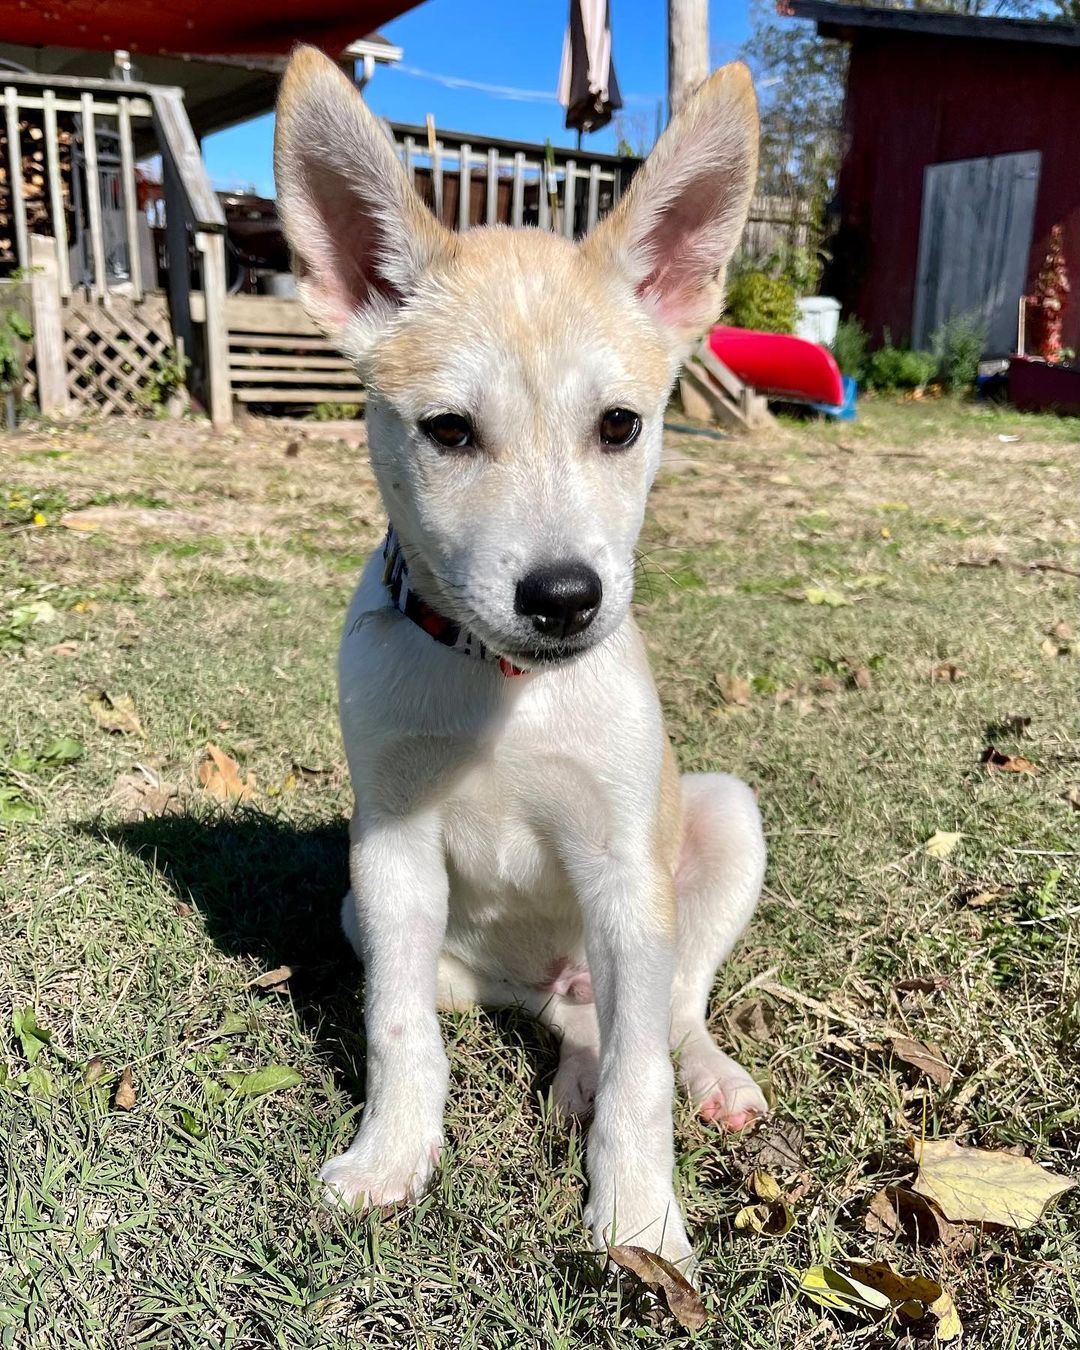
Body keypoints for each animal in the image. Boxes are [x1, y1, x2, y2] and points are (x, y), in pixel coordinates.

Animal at [276, 49, 766, 1274]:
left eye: (621, 426)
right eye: (449, 431)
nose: (562, 599)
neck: (504, 688)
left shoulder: (624, 873)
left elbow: (645, 1077)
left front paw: (638, 1221)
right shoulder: (391, 853)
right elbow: (398, 1029)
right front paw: (390, 1156)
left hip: (718, 826)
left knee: (668, 1013)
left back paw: (708, 1077)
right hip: (384, 919)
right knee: (568, 1021)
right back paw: (570, 1072)